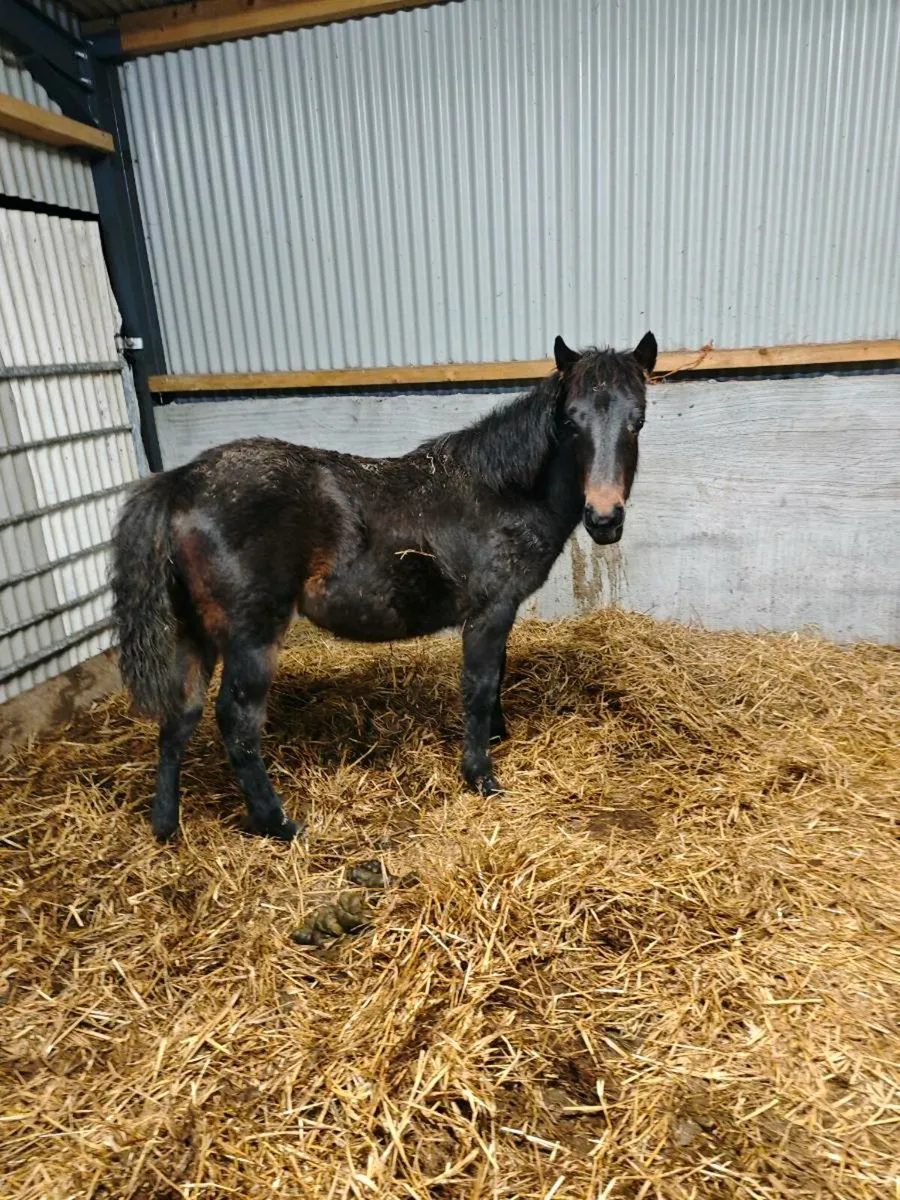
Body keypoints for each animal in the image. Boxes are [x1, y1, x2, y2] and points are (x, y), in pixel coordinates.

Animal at [111, 332, 657, 842]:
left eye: (638, 420)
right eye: (571, 422)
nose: (604, 519)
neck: (501, 493)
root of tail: (182, 481)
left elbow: (497, 674)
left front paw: (497, 737)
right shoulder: (490, 610)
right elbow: (480, 686)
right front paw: (481, 776)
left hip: (195, 633)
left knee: (180, 715)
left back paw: (166, 825)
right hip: (251, 638)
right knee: (236, 723)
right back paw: (279, 825)